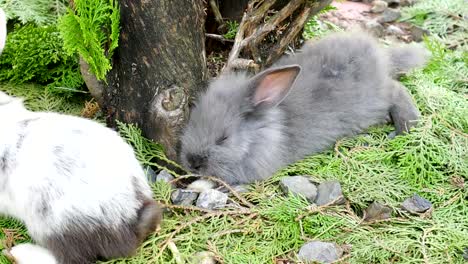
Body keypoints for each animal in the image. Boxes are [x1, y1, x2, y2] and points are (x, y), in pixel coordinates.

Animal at [179, 32, 428, 185]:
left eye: (223, 138)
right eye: (191, 121)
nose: (192, 162)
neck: (262, 131)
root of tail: (380, 56)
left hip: (375, 99)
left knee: (398, 90)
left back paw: (408, 125)